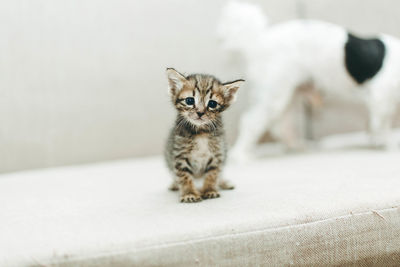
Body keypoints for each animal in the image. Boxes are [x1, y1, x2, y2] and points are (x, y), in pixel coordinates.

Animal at [163, 68, 244, 203]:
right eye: (190, 101)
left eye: (212, 104)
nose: (200, 113)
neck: (201, 132)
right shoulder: (179, 155)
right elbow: (184, 176)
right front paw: (189, 193)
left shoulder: (218, 154)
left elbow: (213, 174)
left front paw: (209, 190)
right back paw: (175, 185)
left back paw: (223, 183)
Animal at [217, 2, 400, 161]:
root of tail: (259, 40)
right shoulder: (381, 99)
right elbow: (381, 125)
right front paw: (386, 144)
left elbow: (376, 124)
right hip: (273, 93)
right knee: (251, 122)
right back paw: (242, 154)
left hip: (289, 94)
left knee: (281, 126)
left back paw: (296, 146)